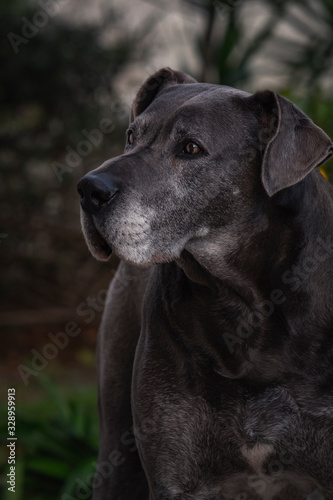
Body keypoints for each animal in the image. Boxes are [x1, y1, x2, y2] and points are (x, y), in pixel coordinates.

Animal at [77, 69, 332, 500]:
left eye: (191, 148)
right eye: (131, 135)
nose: (89, 190)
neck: (247, 307)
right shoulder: (176, 478)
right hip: (116, 450)